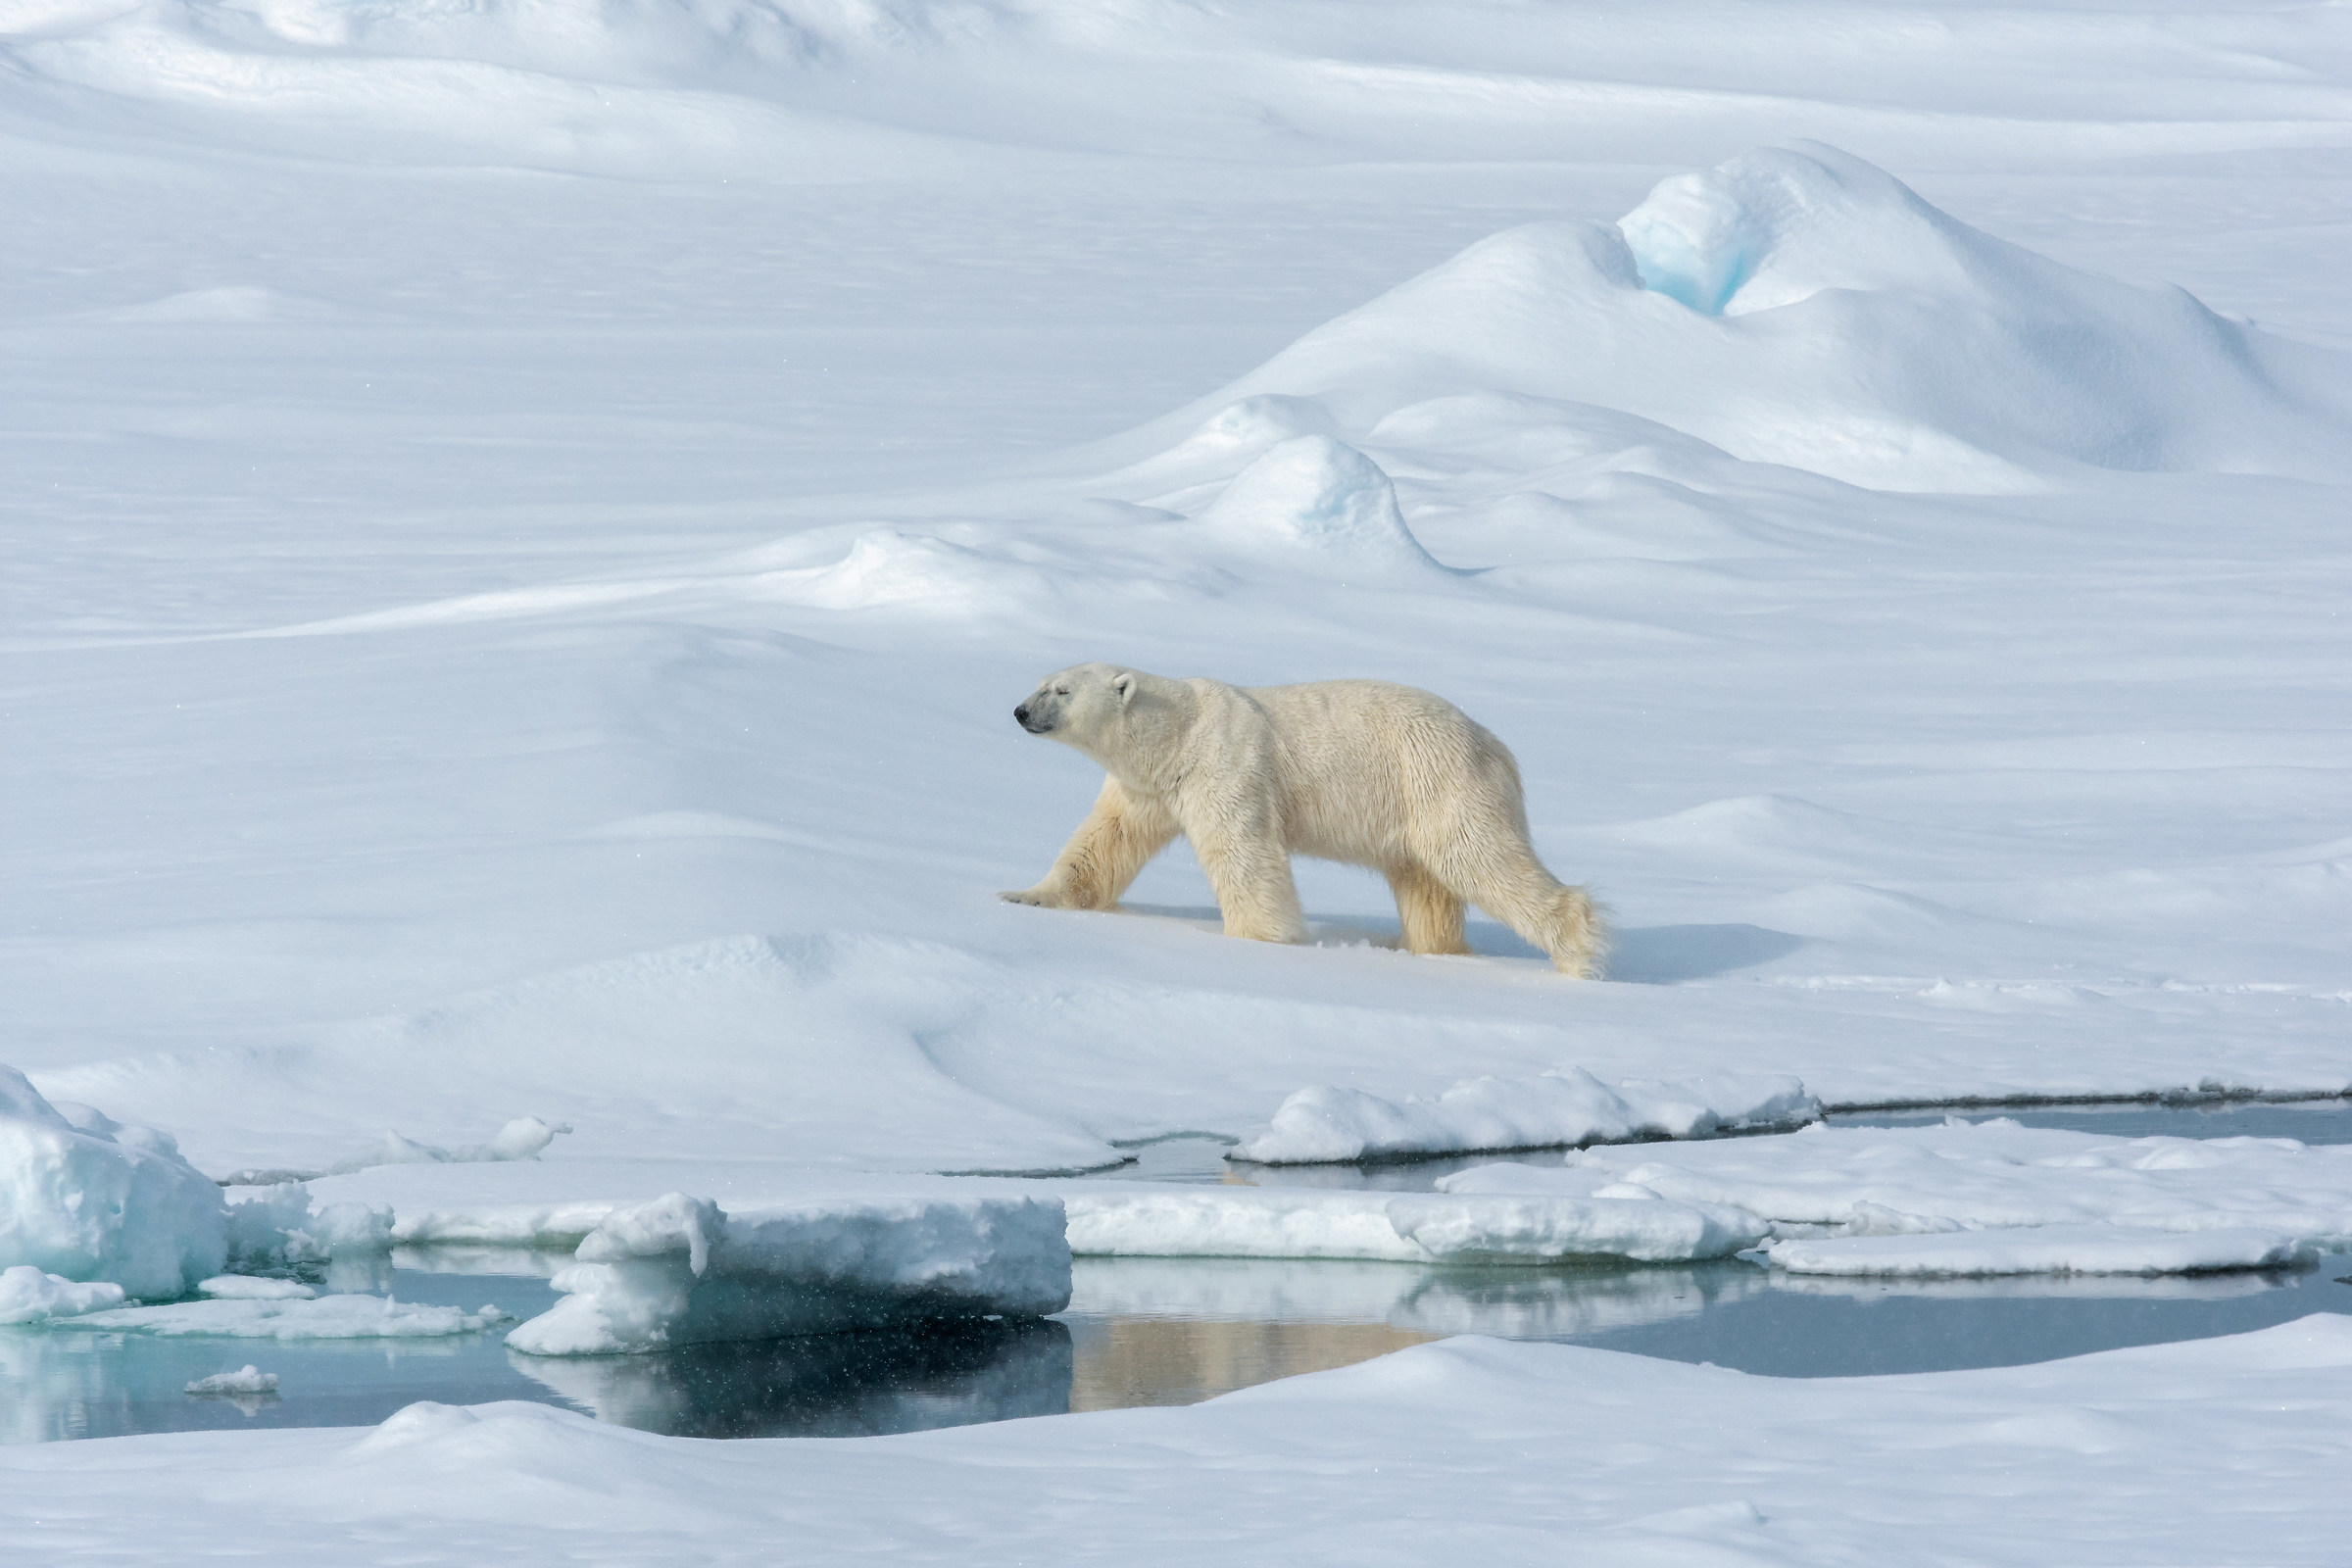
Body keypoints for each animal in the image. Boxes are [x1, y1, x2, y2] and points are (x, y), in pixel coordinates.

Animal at [1000, 663, 1607, 978]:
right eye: (1042, 680)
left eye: (1061, 689)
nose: (1021, 711)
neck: (1177, 732)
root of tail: (1496, 746)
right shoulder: (1146, 788)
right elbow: (1102, 843)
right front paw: (1025, 896)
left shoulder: (1225, 764)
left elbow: (1244, 852)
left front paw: (1259, 938)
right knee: (1424, 881)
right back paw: (1430, 948)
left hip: (1439, 780)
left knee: (1478, 856)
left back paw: (1577, 950)